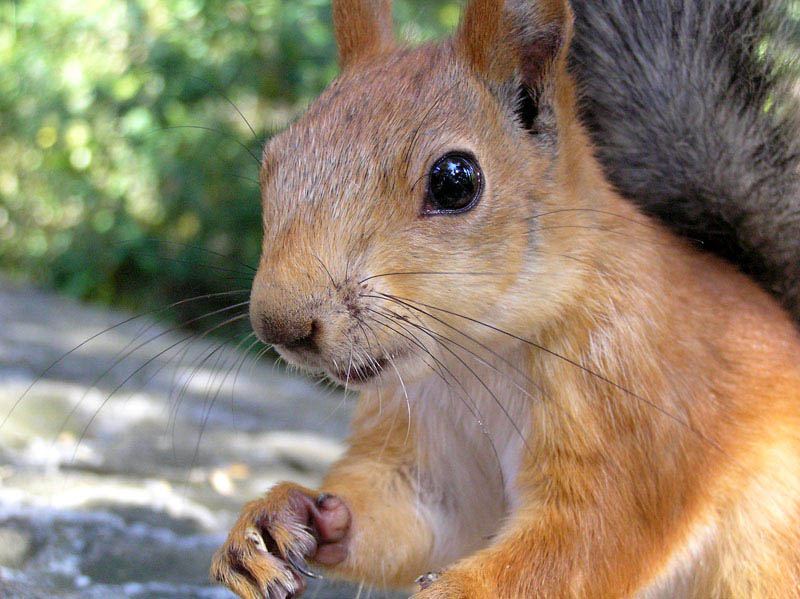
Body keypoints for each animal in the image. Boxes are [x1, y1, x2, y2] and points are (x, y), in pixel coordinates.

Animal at [209, 1, 796, 599]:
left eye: (455, 181)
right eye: (273, 161)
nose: (279, 326)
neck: (478, 357)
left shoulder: (638, 420)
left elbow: (585, 543)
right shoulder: (425, 445)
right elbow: (413, 516)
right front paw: (281, 517)